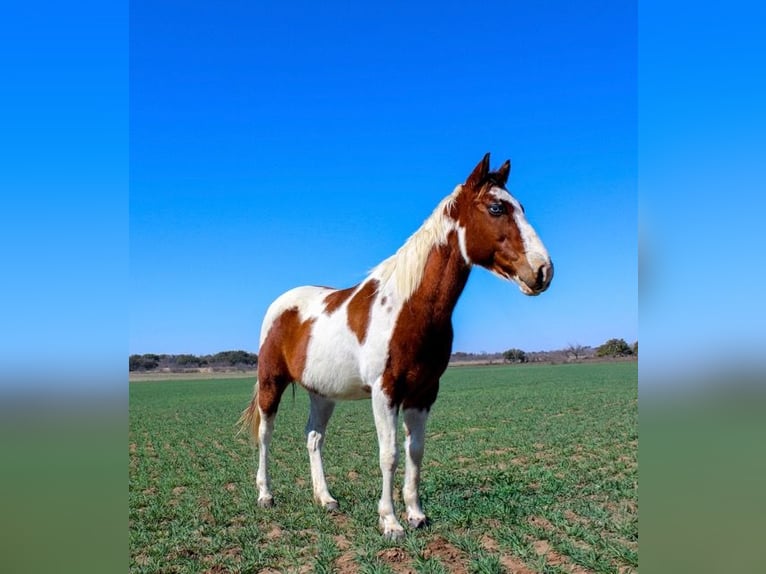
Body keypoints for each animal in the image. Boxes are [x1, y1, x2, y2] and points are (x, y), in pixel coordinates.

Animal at [237, 153, 556, 540]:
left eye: (521, 207)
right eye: (496, 208)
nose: (542, 271)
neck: (409, 308)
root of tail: (282, 303)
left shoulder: (424, 392)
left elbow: (415, 451)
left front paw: (417, 514)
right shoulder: (385, 391)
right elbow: (388, 454)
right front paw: (389, 521)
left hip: (322, 393)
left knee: (314, 437)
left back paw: (325, 499)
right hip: (271, 382)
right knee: (265, 434)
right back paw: (265, 495)